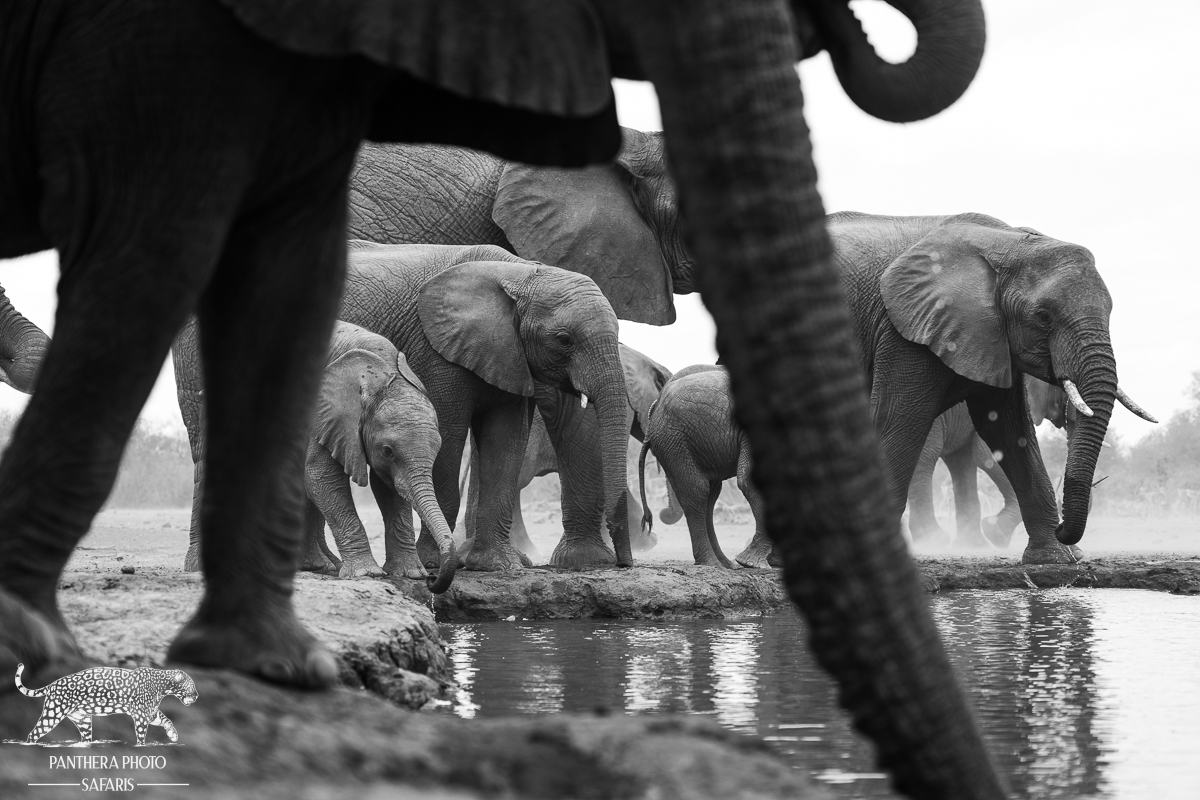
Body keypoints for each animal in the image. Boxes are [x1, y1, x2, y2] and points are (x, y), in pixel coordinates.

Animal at [907, 379, 1072, 550]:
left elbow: (964, 461)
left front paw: (973, 544)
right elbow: (989, 454)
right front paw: (995, 532)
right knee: (925, 457)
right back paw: (933, 540)